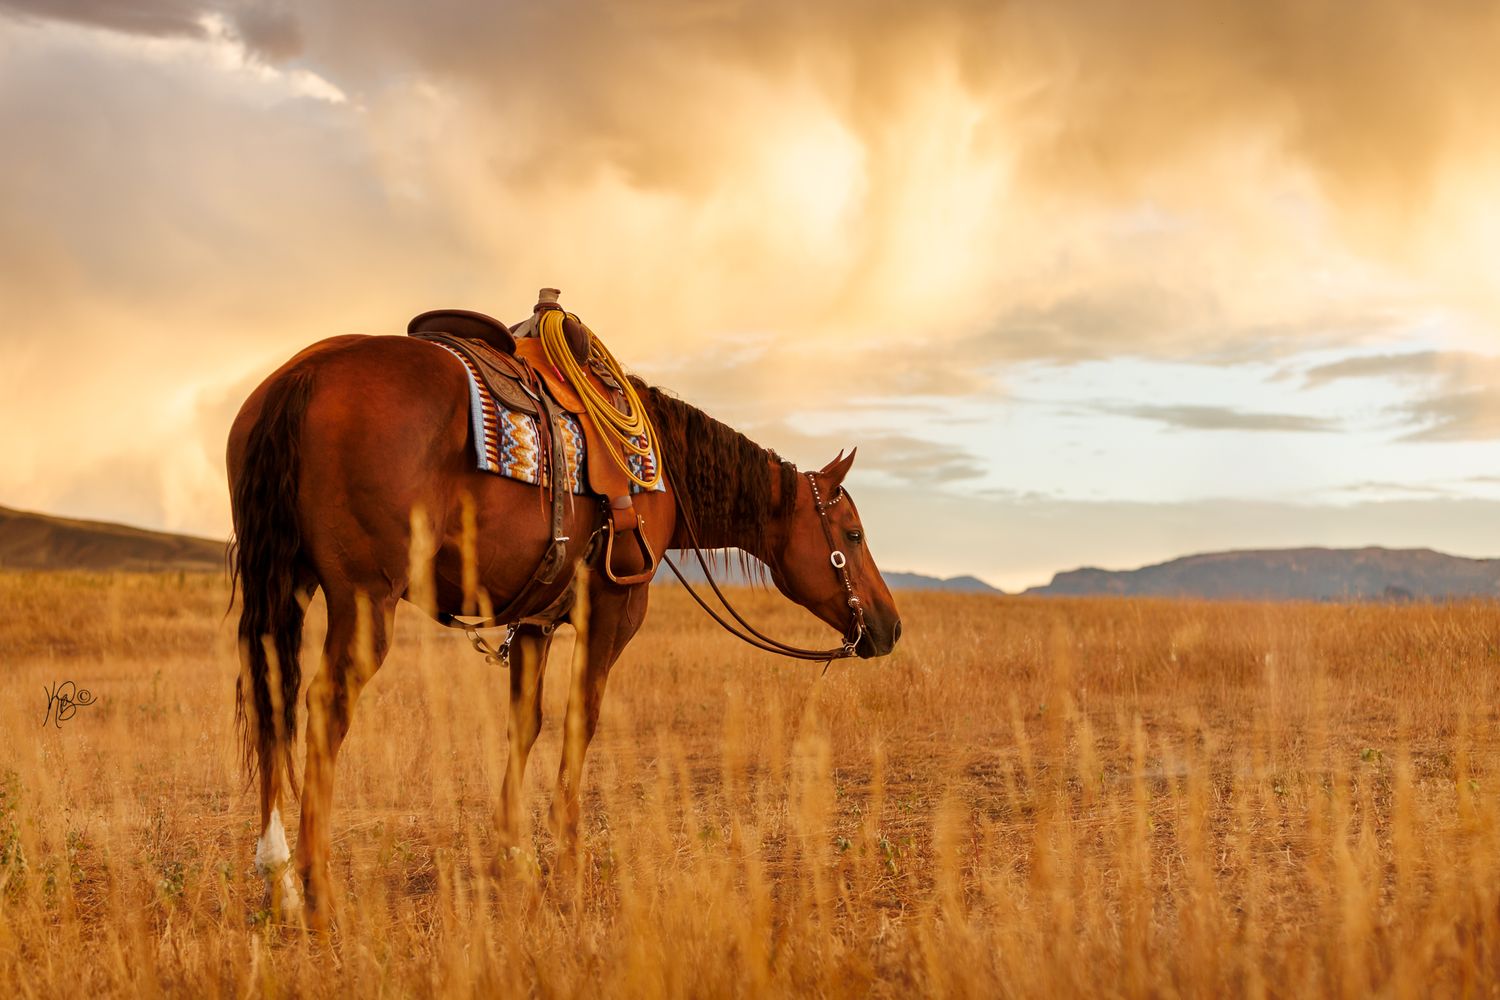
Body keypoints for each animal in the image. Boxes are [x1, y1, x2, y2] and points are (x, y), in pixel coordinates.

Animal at [226, 333, 903, 920]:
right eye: (852, 534)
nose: (890, 626)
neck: (664, 474)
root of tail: (305, 374)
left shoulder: (534, 622)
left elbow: (525, 722)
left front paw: (513, 853)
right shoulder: (612, 608)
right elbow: (583, 716)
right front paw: (569, 855)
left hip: (284, 584)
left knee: (273, 702)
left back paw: (279, 878)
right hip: (365, 598)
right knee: (325, 707)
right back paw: (317, 887)